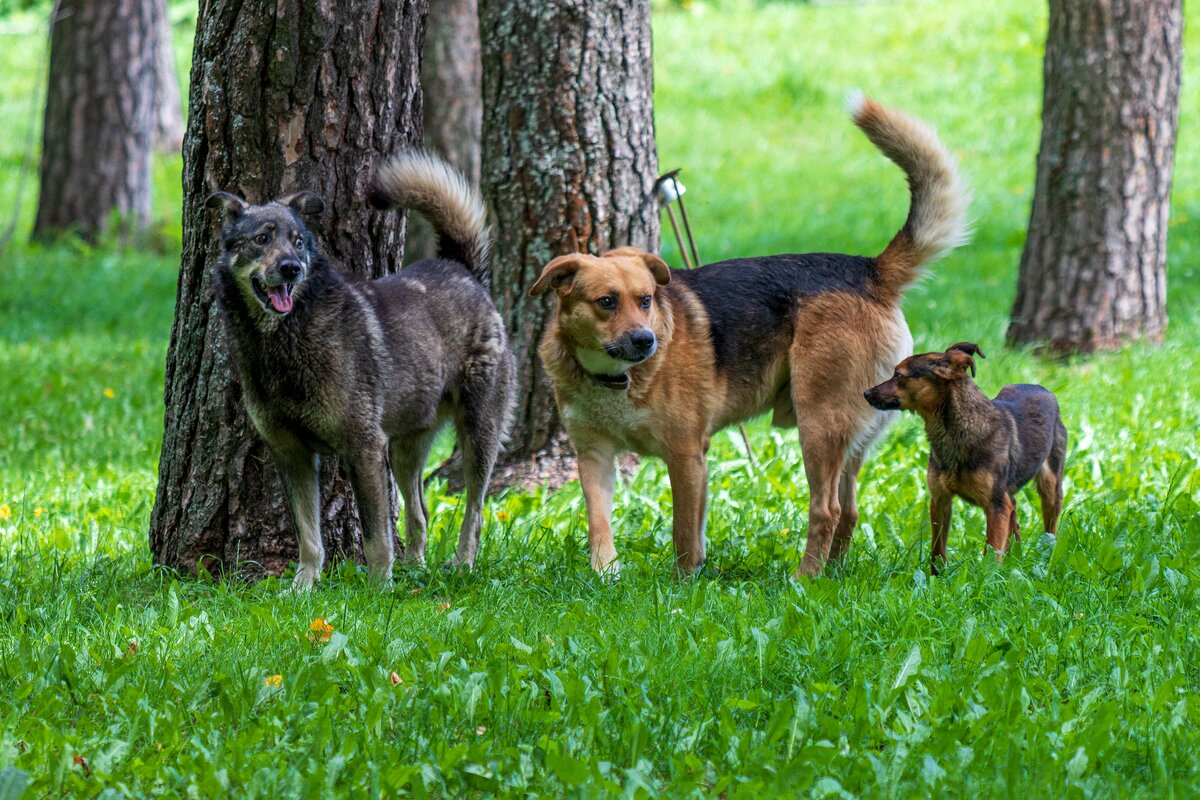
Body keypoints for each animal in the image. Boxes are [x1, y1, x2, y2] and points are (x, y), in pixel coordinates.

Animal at [207, 151, 516, 587]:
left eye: (298, 241)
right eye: (261, 239)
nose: (291, 268)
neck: (286, 338)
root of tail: (462, 271)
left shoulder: (364, 447)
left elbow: (376, 536)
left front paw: (377, 589)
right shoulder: (292, 453)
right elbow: (308, 535)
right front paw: (303, 585)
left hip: (478, 432)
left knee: (475, 511)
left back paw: (461, 565)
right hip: (405, 449)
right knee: (420, 513)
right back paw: (415, 568)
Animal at [530, 97, 969, 578]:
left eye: (645, 300)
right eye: (606, 302)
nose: (646, 341)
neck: (615, 378)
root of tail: (869, 270)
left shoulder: (685, 454)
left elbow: (684, 534)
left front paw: (682, 584)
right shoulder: (594, 456)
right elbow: (600, 523)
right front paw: (605, 574)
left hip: (819, 425)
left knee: (827, 510)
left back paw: (805, 578)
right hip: (853, 431)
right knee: (849, 512)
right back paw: (831, 575)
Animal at [864, 345, 1070, 575]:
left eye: (899, 375)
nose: (866, 393)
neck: (954, 431)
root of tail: (1041, 388)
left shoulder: (996, 506)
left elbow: (991, 551)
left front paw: (988, 579)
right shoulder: (940, 500)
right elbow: (937, 550)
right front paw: (937, 579)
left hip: (1050, 487)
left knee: (1049, 528)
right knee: (1014, 517)